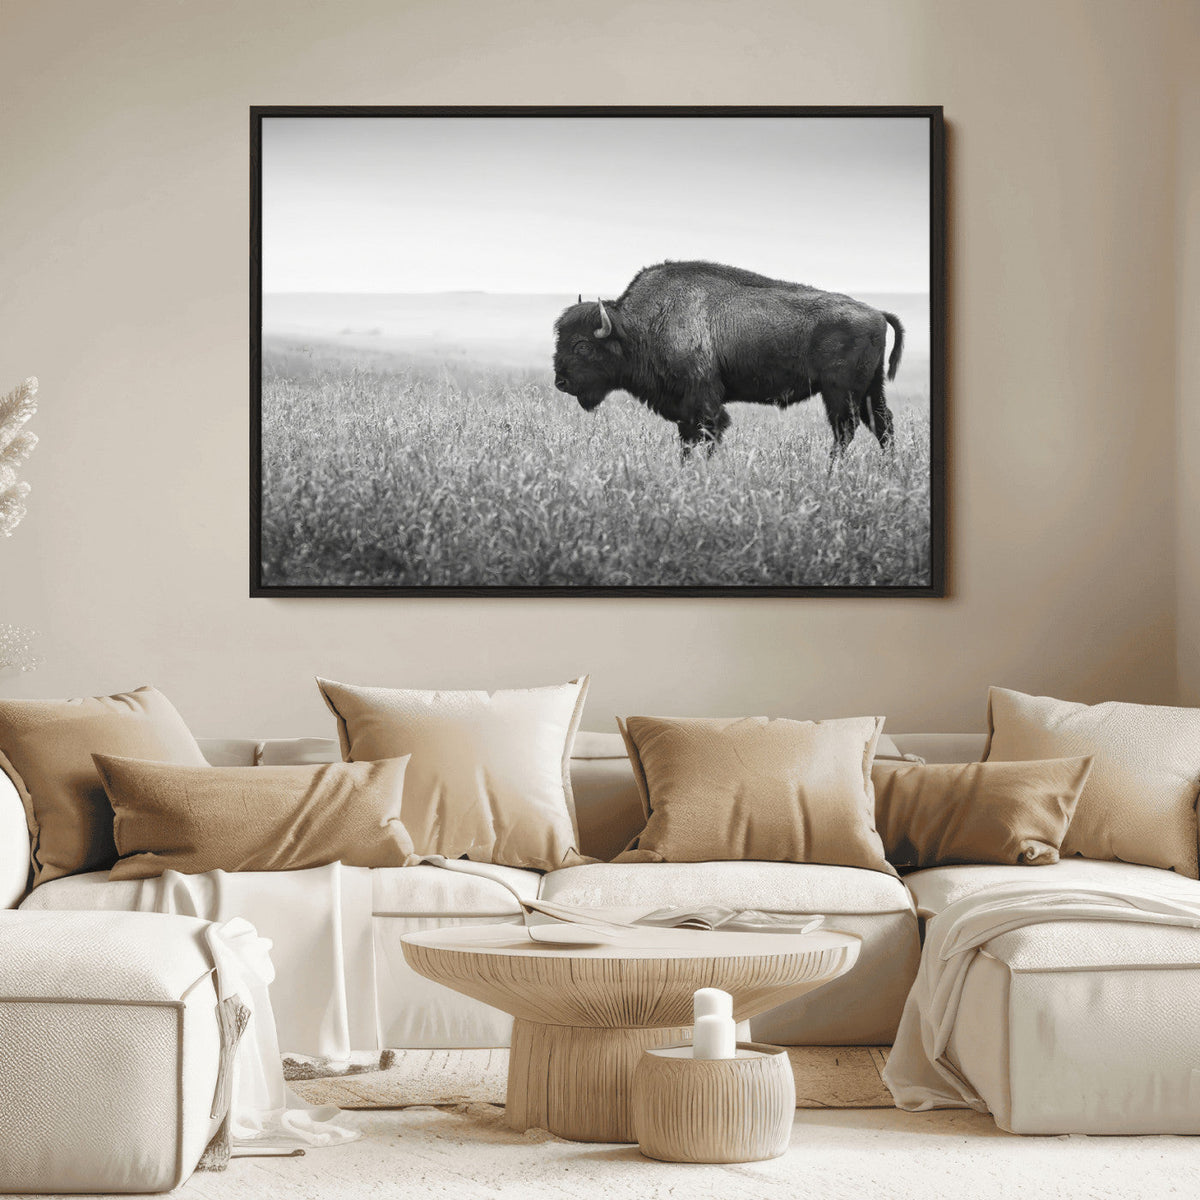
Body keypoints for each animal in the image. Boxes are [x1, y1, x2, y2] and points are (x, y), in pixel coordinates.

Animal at [552, 260, 904, 456]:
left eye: (582, 345)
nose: (561, 382)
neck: (639, 326)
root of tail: (876, 313)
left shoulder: (703, 402)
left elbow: (707, 435)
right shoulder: (684, 409)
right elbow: (687, 441)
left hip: (840, 393)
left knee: (846, 430)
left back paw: (832, 472)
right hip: (871, 389)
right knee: (882, 425)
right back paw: (889, 471)